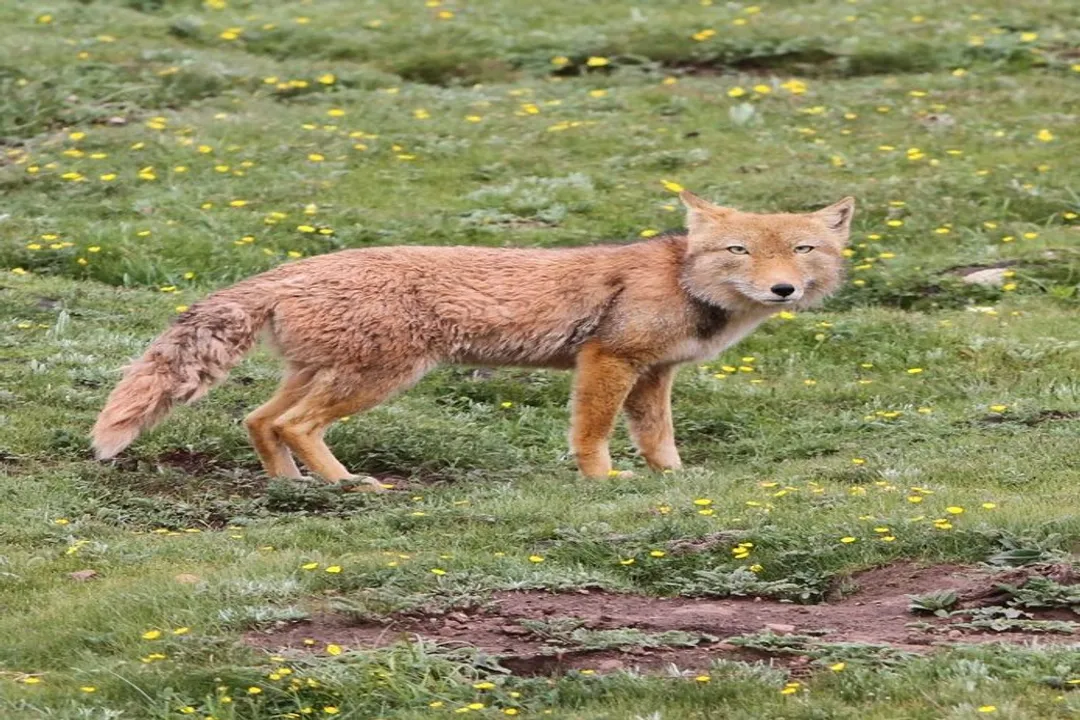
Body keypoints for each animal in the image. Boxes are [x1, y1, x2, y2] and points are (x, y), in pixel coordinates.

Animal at [92, 191, 854, 487]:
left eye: (802, 250)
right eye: (739, 251)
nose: (783, 290)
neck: (684, 281)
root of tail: (288, 270)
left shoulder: (655, 374)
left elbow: (659, 438)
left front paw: (672, 481)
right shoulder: (607, 360)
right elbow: (593, 434)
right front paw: (602, 482)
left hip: (323, 374)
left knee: (260, 420)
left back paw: (292, 489)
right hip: (377, 379)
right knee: (296, 425)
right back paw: (347, 486)